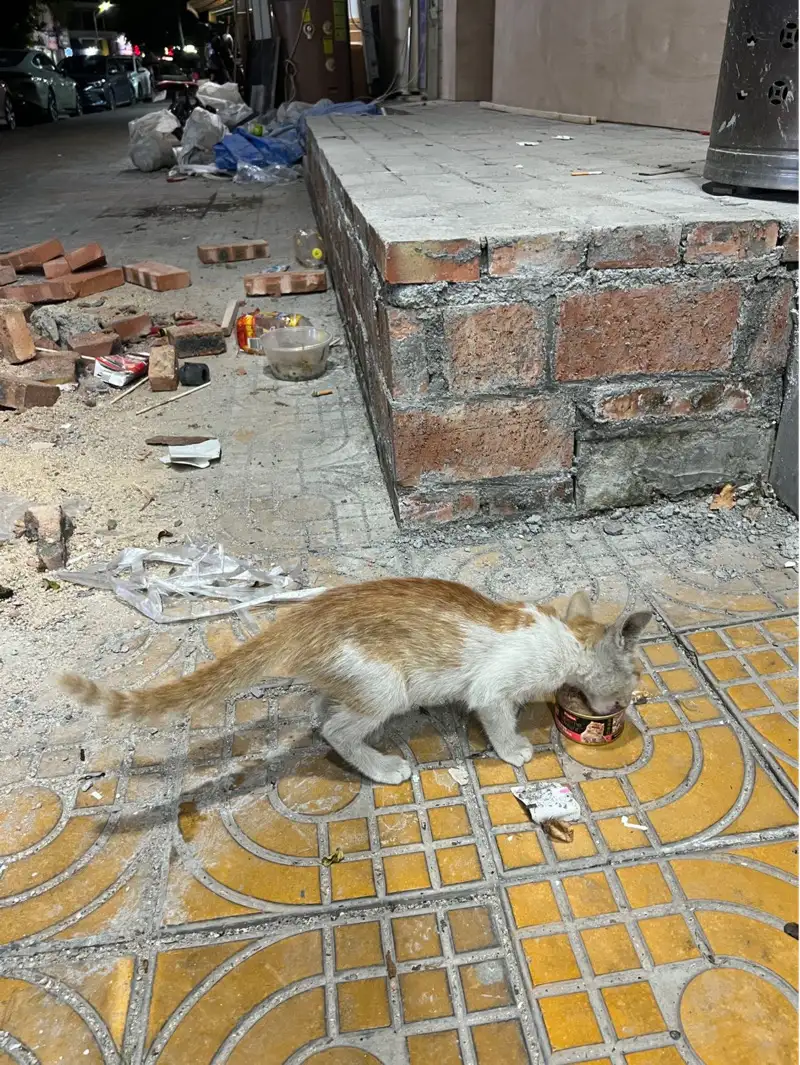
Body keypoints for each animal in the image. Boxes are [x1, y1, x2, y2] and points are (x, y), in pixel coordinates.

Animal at [60, 579, 651, 788]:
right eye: (629, 685)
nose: (623, 705)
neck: (563, 639)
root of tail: (303, 616)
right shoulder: (493, 689)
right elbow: (497, 717)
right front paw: (514, 750)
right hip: (386, 684)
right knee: (335, 731)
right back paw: (381, 766)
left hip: (350, 680)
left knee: (322, 712)